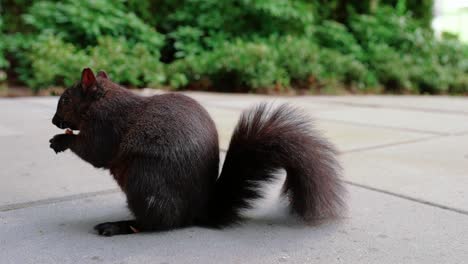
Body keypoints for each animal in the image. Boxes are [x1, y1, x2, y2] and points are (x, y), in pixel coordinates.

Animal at [50, 67, 344, 235]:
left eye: (65, 99)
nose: (54, 121)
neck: (103, 99)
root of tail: (195, 213)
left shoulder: (106, 125)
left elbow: (94, 152)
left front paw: (60, 141)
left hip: (143, 180)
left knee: (157, 224)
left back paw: (118, 226)